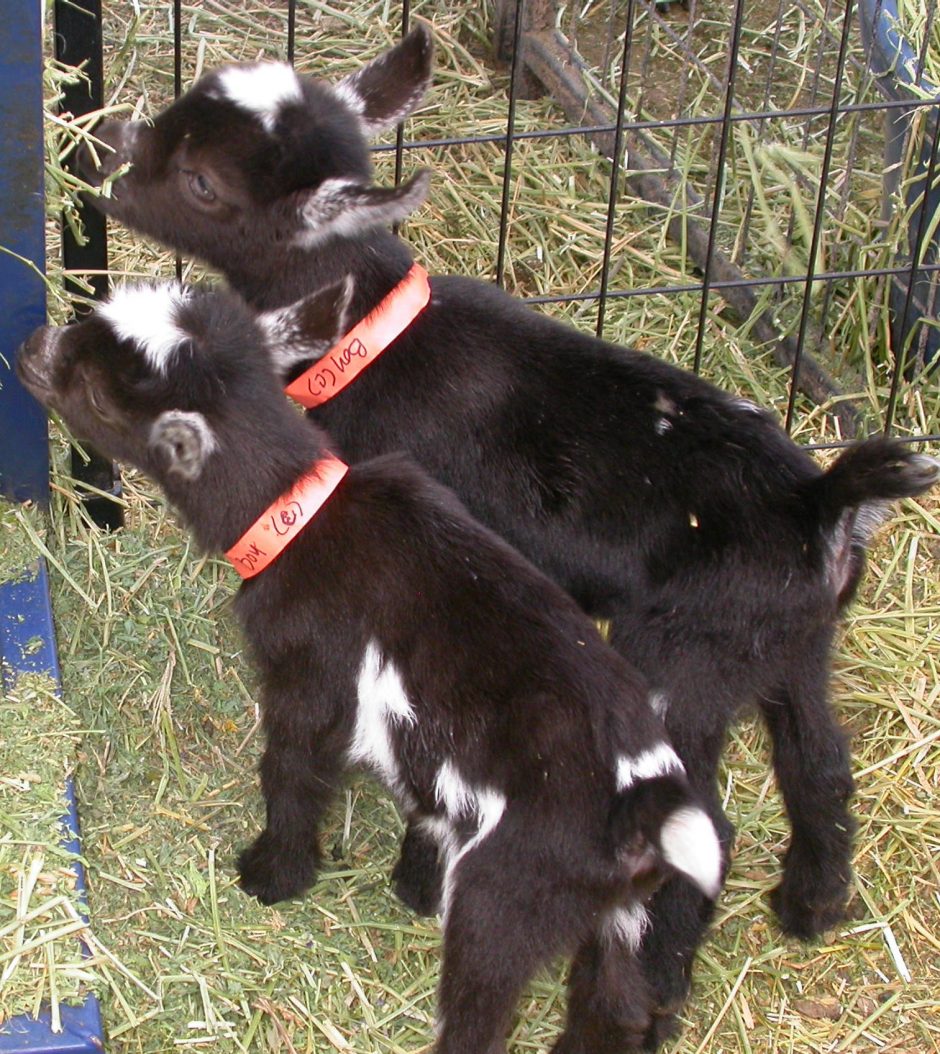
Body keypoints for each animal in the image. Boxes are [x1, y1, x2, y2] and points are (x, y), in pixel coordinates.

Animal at [18, 279, 723, 1054]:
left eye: (99, 393)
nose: (29, 348)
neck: (301, 518)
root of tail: (641, 803)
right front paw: (410, 882)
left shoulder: (311, 676)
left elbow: (292, 772)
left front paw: (272, 875)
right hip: (617, 916)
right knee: (614, 1004)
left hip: (505, 900)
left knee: (481, 1008)